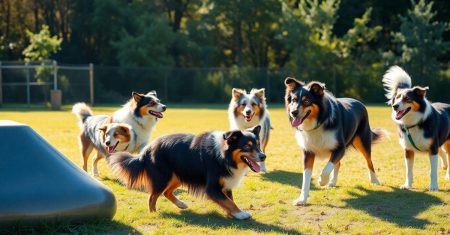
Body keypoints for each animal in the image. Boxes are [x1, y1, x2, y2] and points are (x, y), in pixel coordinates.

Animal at [107, 126, 266, 219]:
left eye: (258, 145)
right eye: (247, 146)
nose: (263, 156)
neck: (224, 155)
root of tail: (146, 150)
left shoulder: (225, 183)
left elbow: (229, 200)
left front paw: (232, 213)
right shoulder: (212, 187)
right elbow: (228, 201)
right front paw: (240, 213)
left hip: (178, 175)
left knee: (167, 192)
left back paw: (181, 204)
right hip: (163, 177)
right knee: (152, 196)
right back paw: (153, 213)